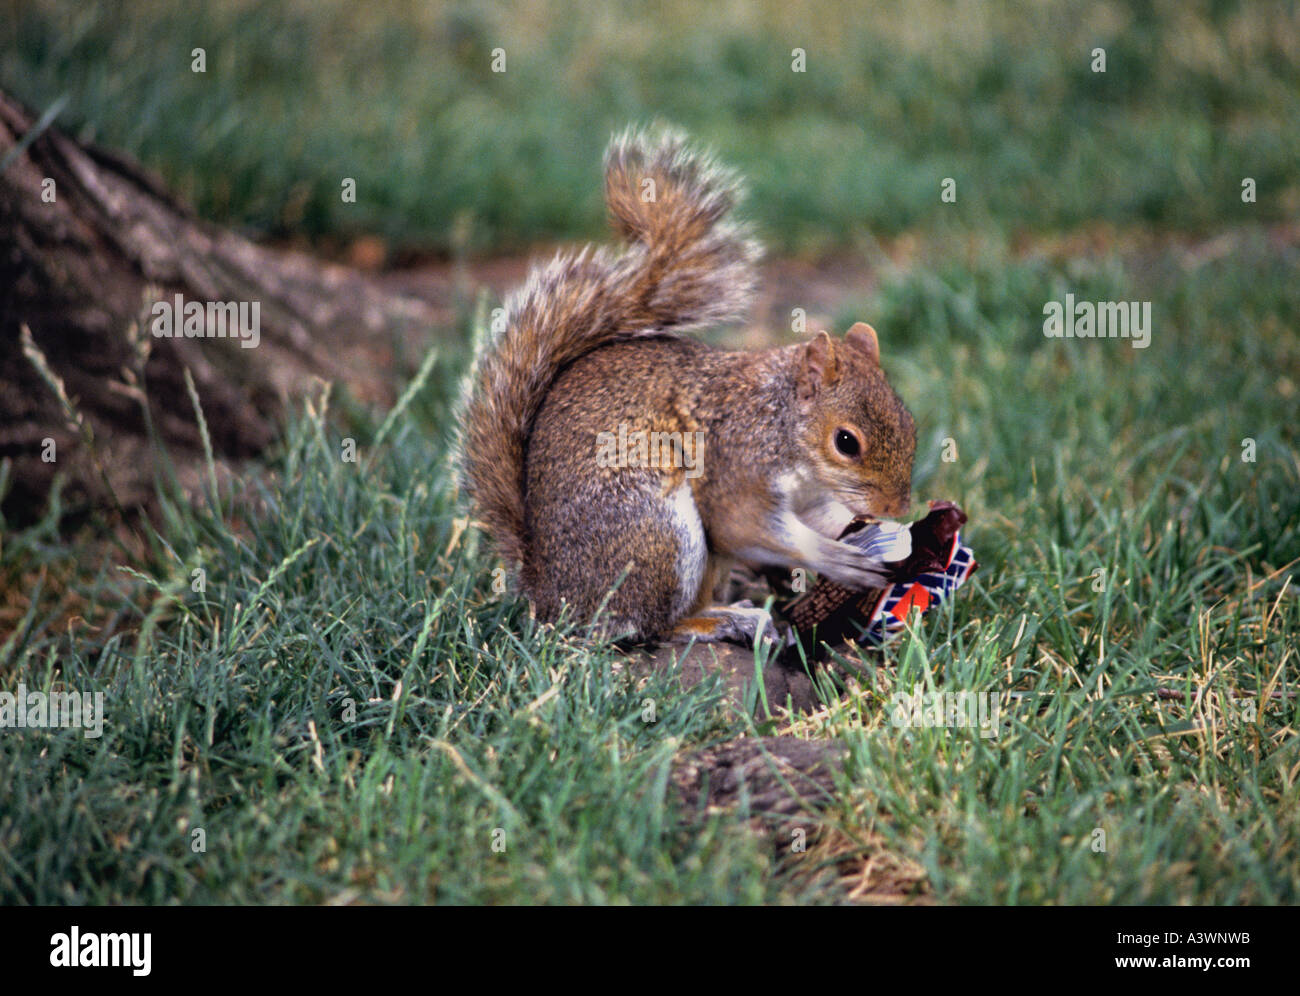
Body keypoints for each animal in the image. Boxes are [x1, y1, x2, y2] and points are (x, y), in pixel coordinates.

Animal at [461, 127, 916, 644]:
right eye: (846, 442)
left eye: (909, 422)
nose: (897, 504)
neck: (782, 423)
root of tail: (551, 595)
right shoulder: (737, 465)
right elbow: (744, 525)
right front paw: (836, 558)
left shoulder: (814, 497)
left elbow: (824, 518)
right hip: (659, 532)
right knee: (655, 625)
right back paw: (726, 620)